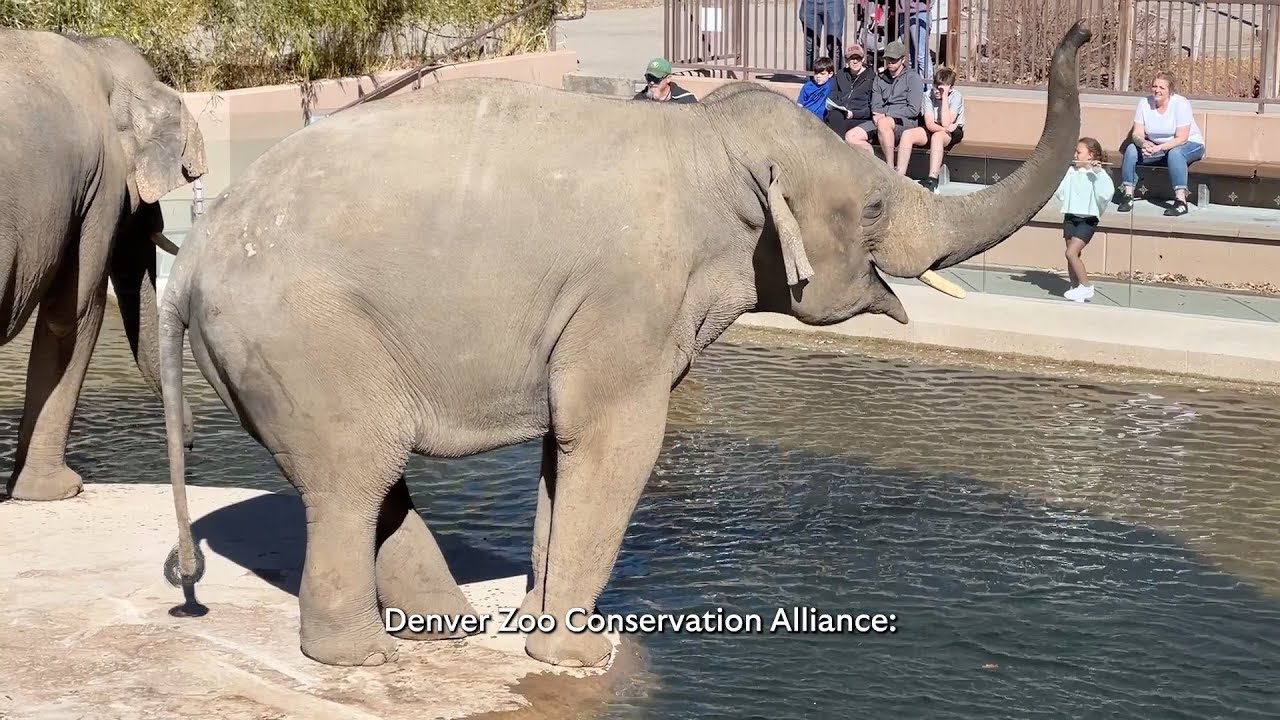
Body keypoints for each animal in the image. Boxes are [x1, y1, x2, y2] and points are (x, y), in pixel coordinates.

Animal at [157, 21, 1091, 669]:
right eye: (871, 207)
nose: (1078, 35)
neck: (708, 141)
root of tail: (191, 255)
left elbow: (562, 452)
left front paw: (538, 628)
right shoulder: (629, 299)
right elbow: (617, 442)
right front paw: (577, 653)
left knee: (368, 475)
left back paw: (446, 631)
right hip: (301, 337)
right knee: (356, 472)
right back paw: (364, 657)